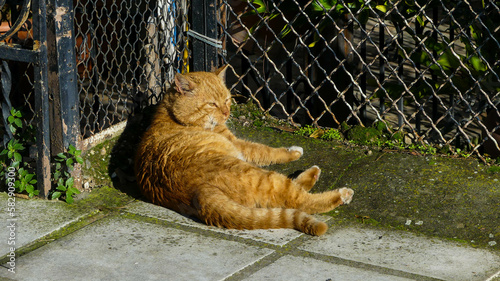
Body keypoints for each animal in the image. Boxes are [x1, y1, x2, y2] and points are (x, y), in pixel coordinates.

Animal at [134, 65, 352, 234]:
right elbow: (265, 151)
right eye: (212, 104)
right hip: (259, 175)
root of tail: (197, 191)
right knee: (299, 200)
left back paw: (312, 174)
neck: (173, 116)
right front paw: (292, 151)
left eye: (227, 100)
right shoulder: (237, 144)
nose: (226, 112)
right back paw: (341, 194)